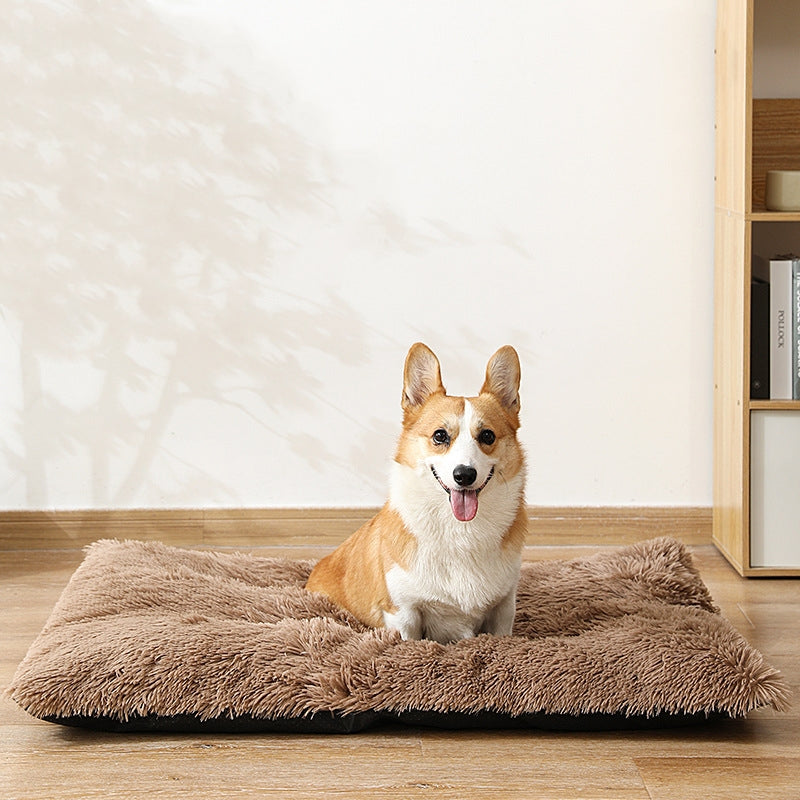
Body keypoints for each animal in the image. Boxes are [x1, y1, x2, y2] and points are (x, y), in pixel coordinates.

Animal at [304, 342, 524, 644]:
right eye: (440, 435)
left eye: (488, 436)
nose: (464, 475)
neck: (460, 531)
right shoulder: (403, 611)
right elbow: (410, 641)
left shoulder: (504, 606)